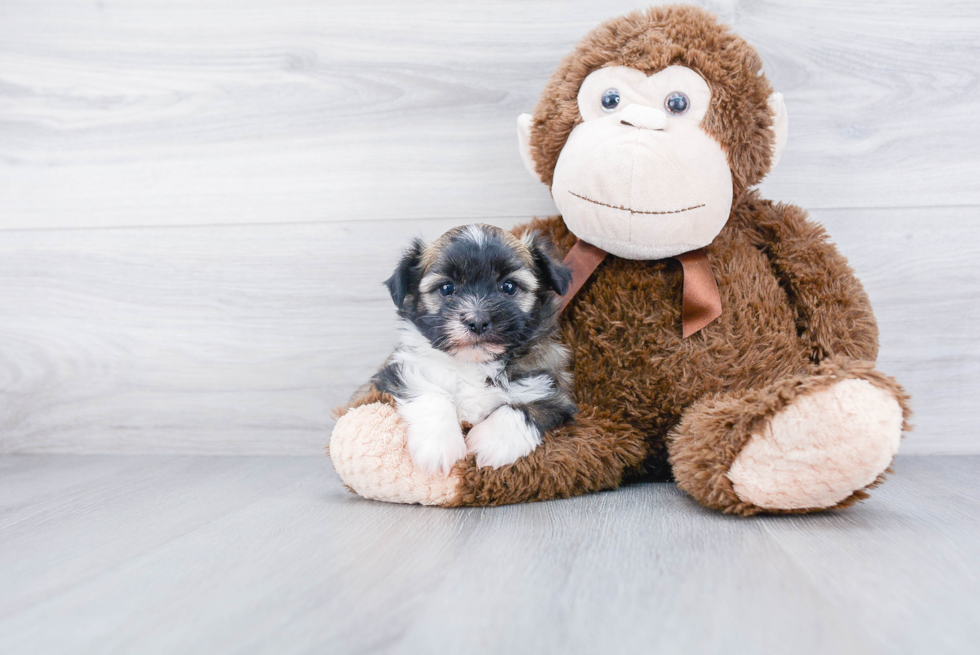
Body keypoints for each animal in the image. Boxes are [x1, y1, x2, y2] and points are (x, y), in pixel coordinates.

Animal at [366, 226, 580, 476]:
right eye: (447, 288)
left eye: (509, 287)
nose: (477, 321)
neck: (473, 363)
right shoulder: (400, 369)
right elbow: (431, 393)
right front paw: (438, 445)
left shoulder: (553, 392)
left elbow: (523, 410)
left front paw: (490, 443)